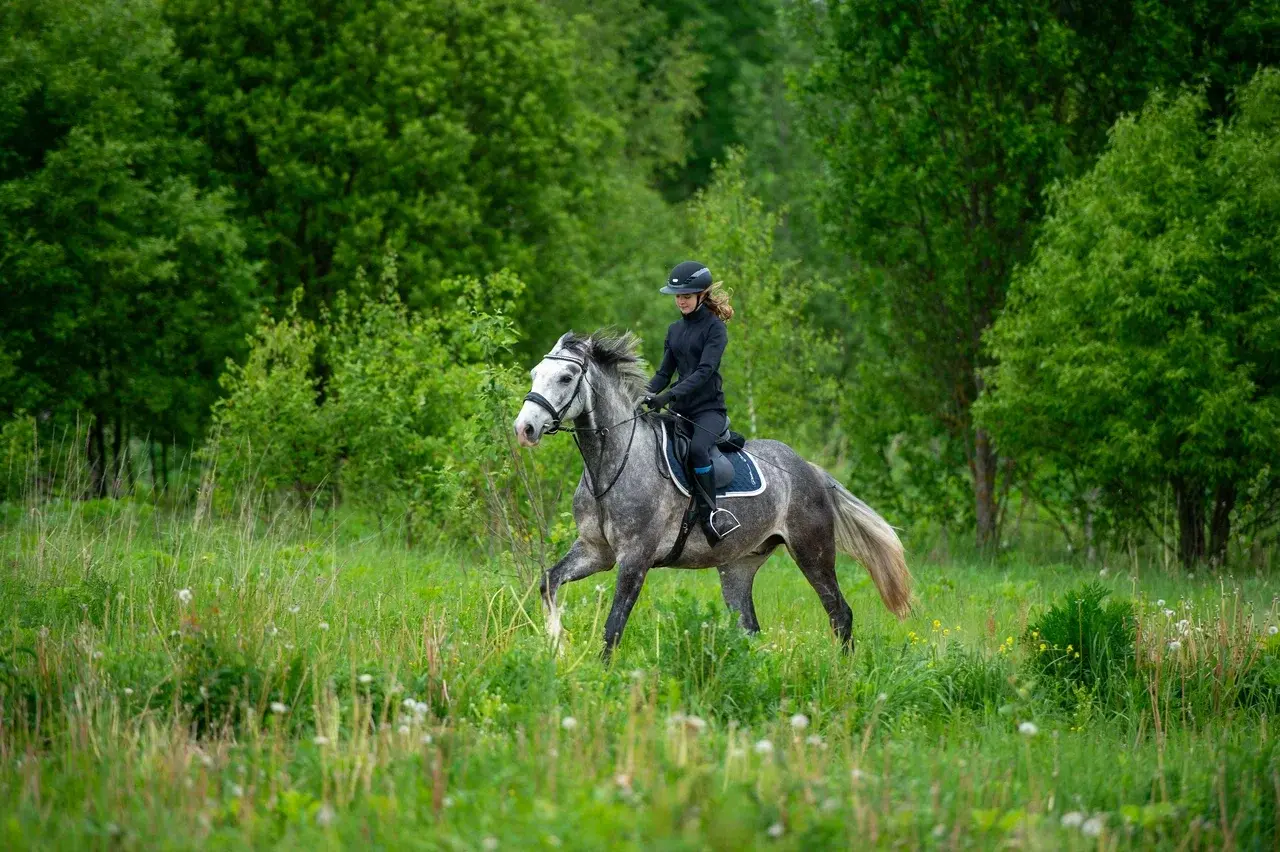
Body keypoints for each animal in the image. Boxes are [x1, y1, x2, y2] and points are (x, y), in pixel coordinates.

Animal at [514, 331, 911, 659]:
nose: (524, 429)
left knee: (839, 613)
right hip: (738, 565)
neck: (611, 467)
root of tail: (811, 469)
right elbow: (548, 583)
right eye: (535, 374)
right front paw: (557, 647)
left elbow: (613, 627)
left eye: (566, 377)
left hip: (813, 553)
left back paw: (844, 674)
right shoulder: (596, 552)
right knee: (749, 627)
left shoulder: (635, 559)